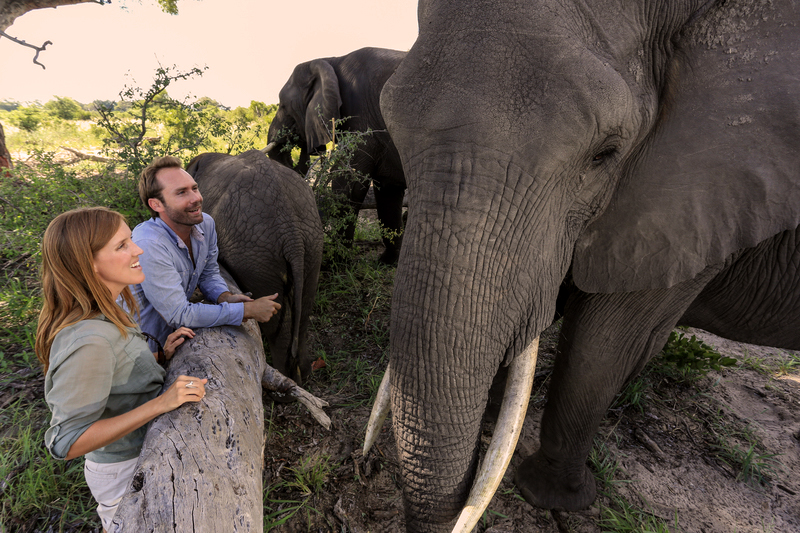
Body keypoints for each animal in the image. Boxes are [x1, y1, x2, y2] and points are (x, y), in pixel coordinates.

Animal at [186, 150, 324, 386]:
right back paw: (303, 375)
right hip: (310, 242)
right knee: (305, 305)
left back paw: (285, 378)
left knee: (274, 317)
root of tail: (292, 233)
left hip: (255, 255)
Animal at [268, 46, 410, 262]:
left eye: (282, 105)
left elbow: (348, 184)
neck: (331, 60)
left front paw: (338, 259)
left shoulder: (362, 119)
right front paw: (386, 262)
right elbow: (388, 190)